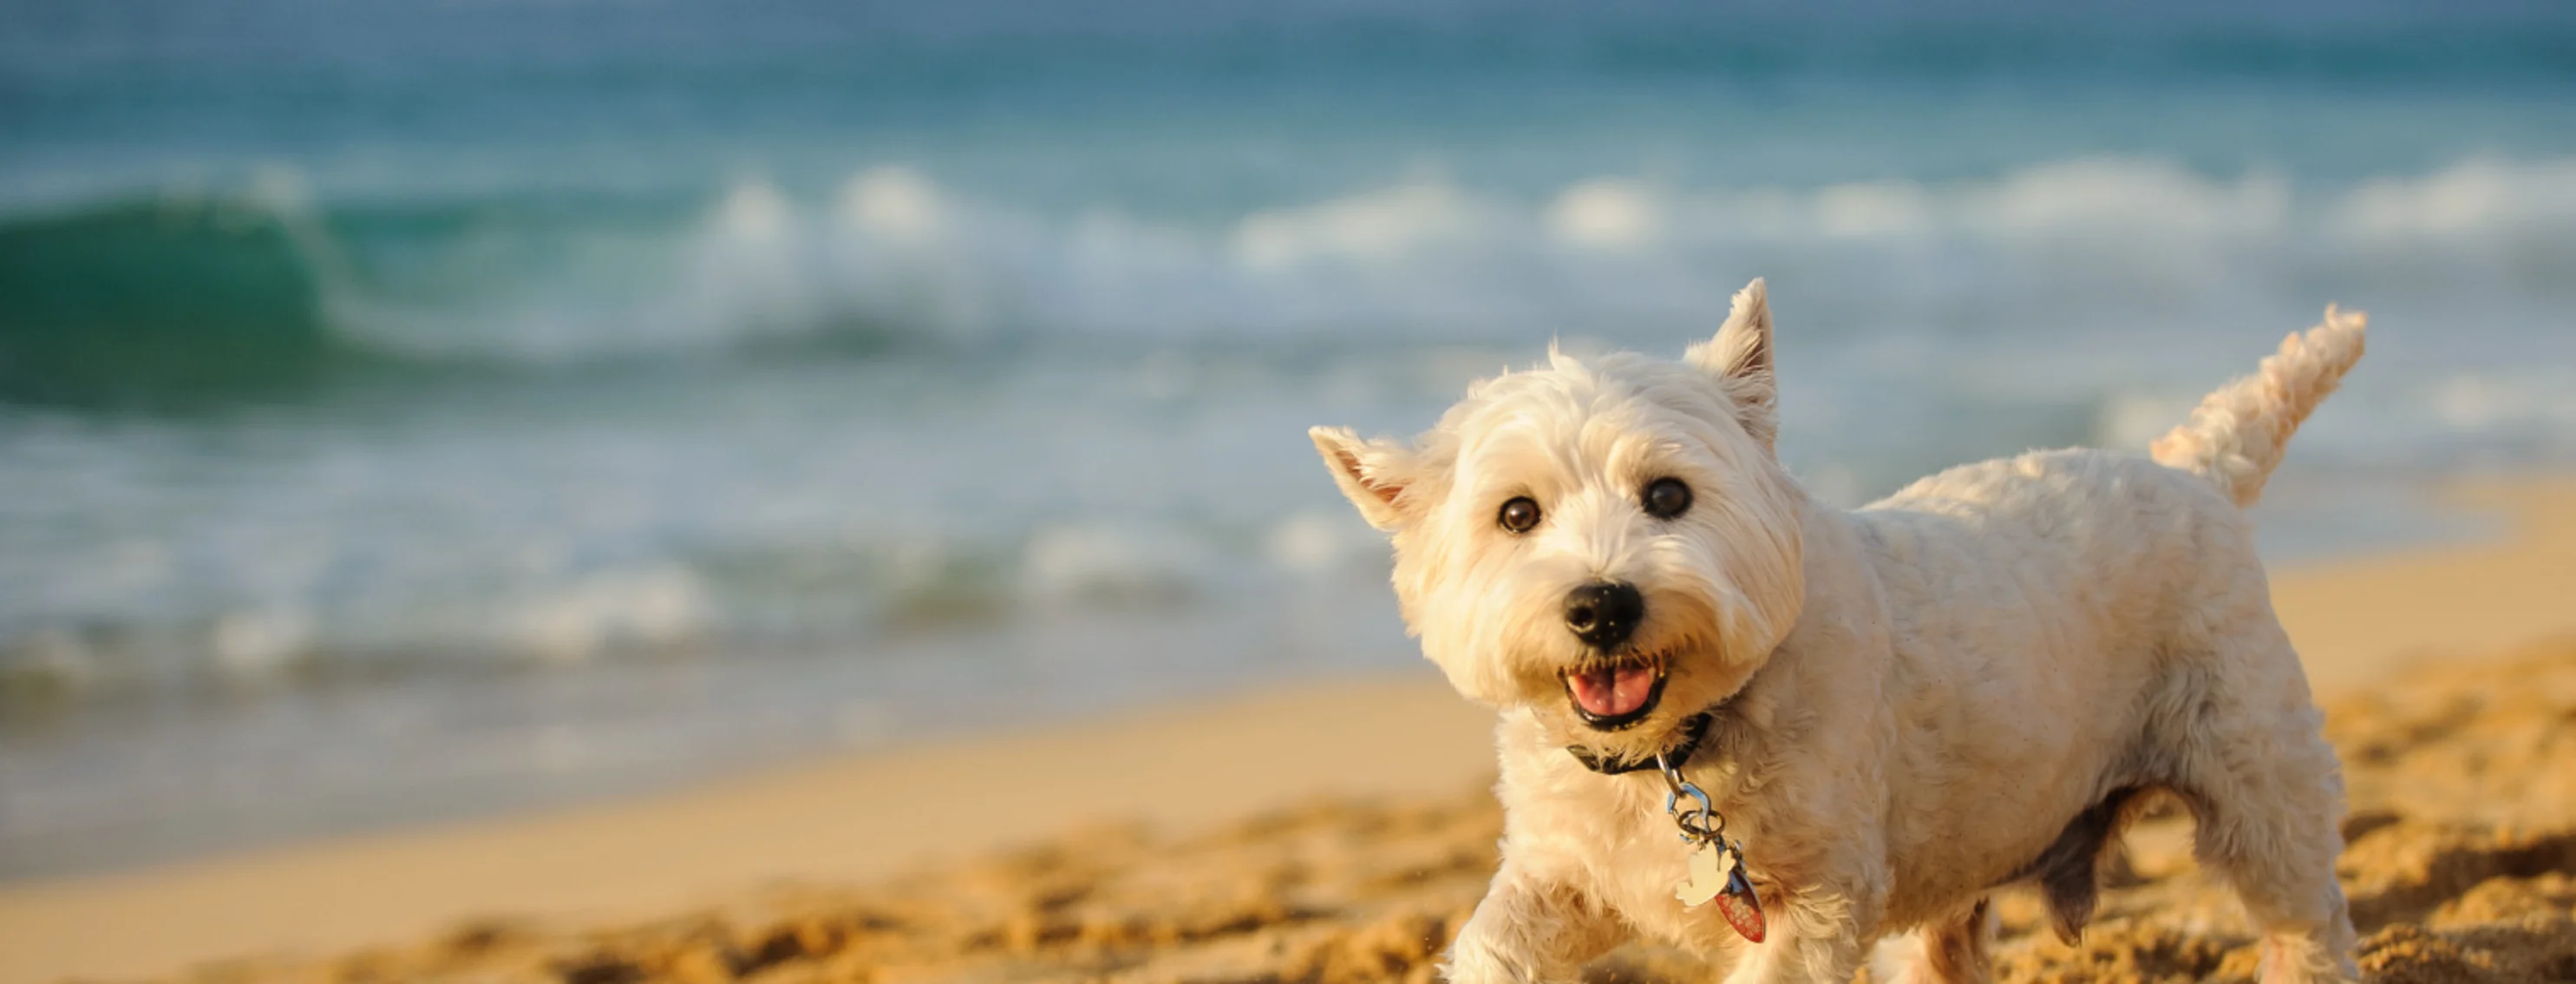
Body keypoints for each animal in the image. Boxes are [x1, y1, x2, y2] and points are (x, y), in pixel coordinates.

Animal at [1318, 278, 2359, 984]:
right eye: (1517, 515)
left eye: (1669, 495)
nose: (1601, 606)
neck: (1676, 752)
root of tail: (2194, 470)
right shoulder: (1562, 872)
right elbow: (1493, 946)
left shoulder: (1817, 901)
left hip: (2255, 777)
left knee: (2302, 913)